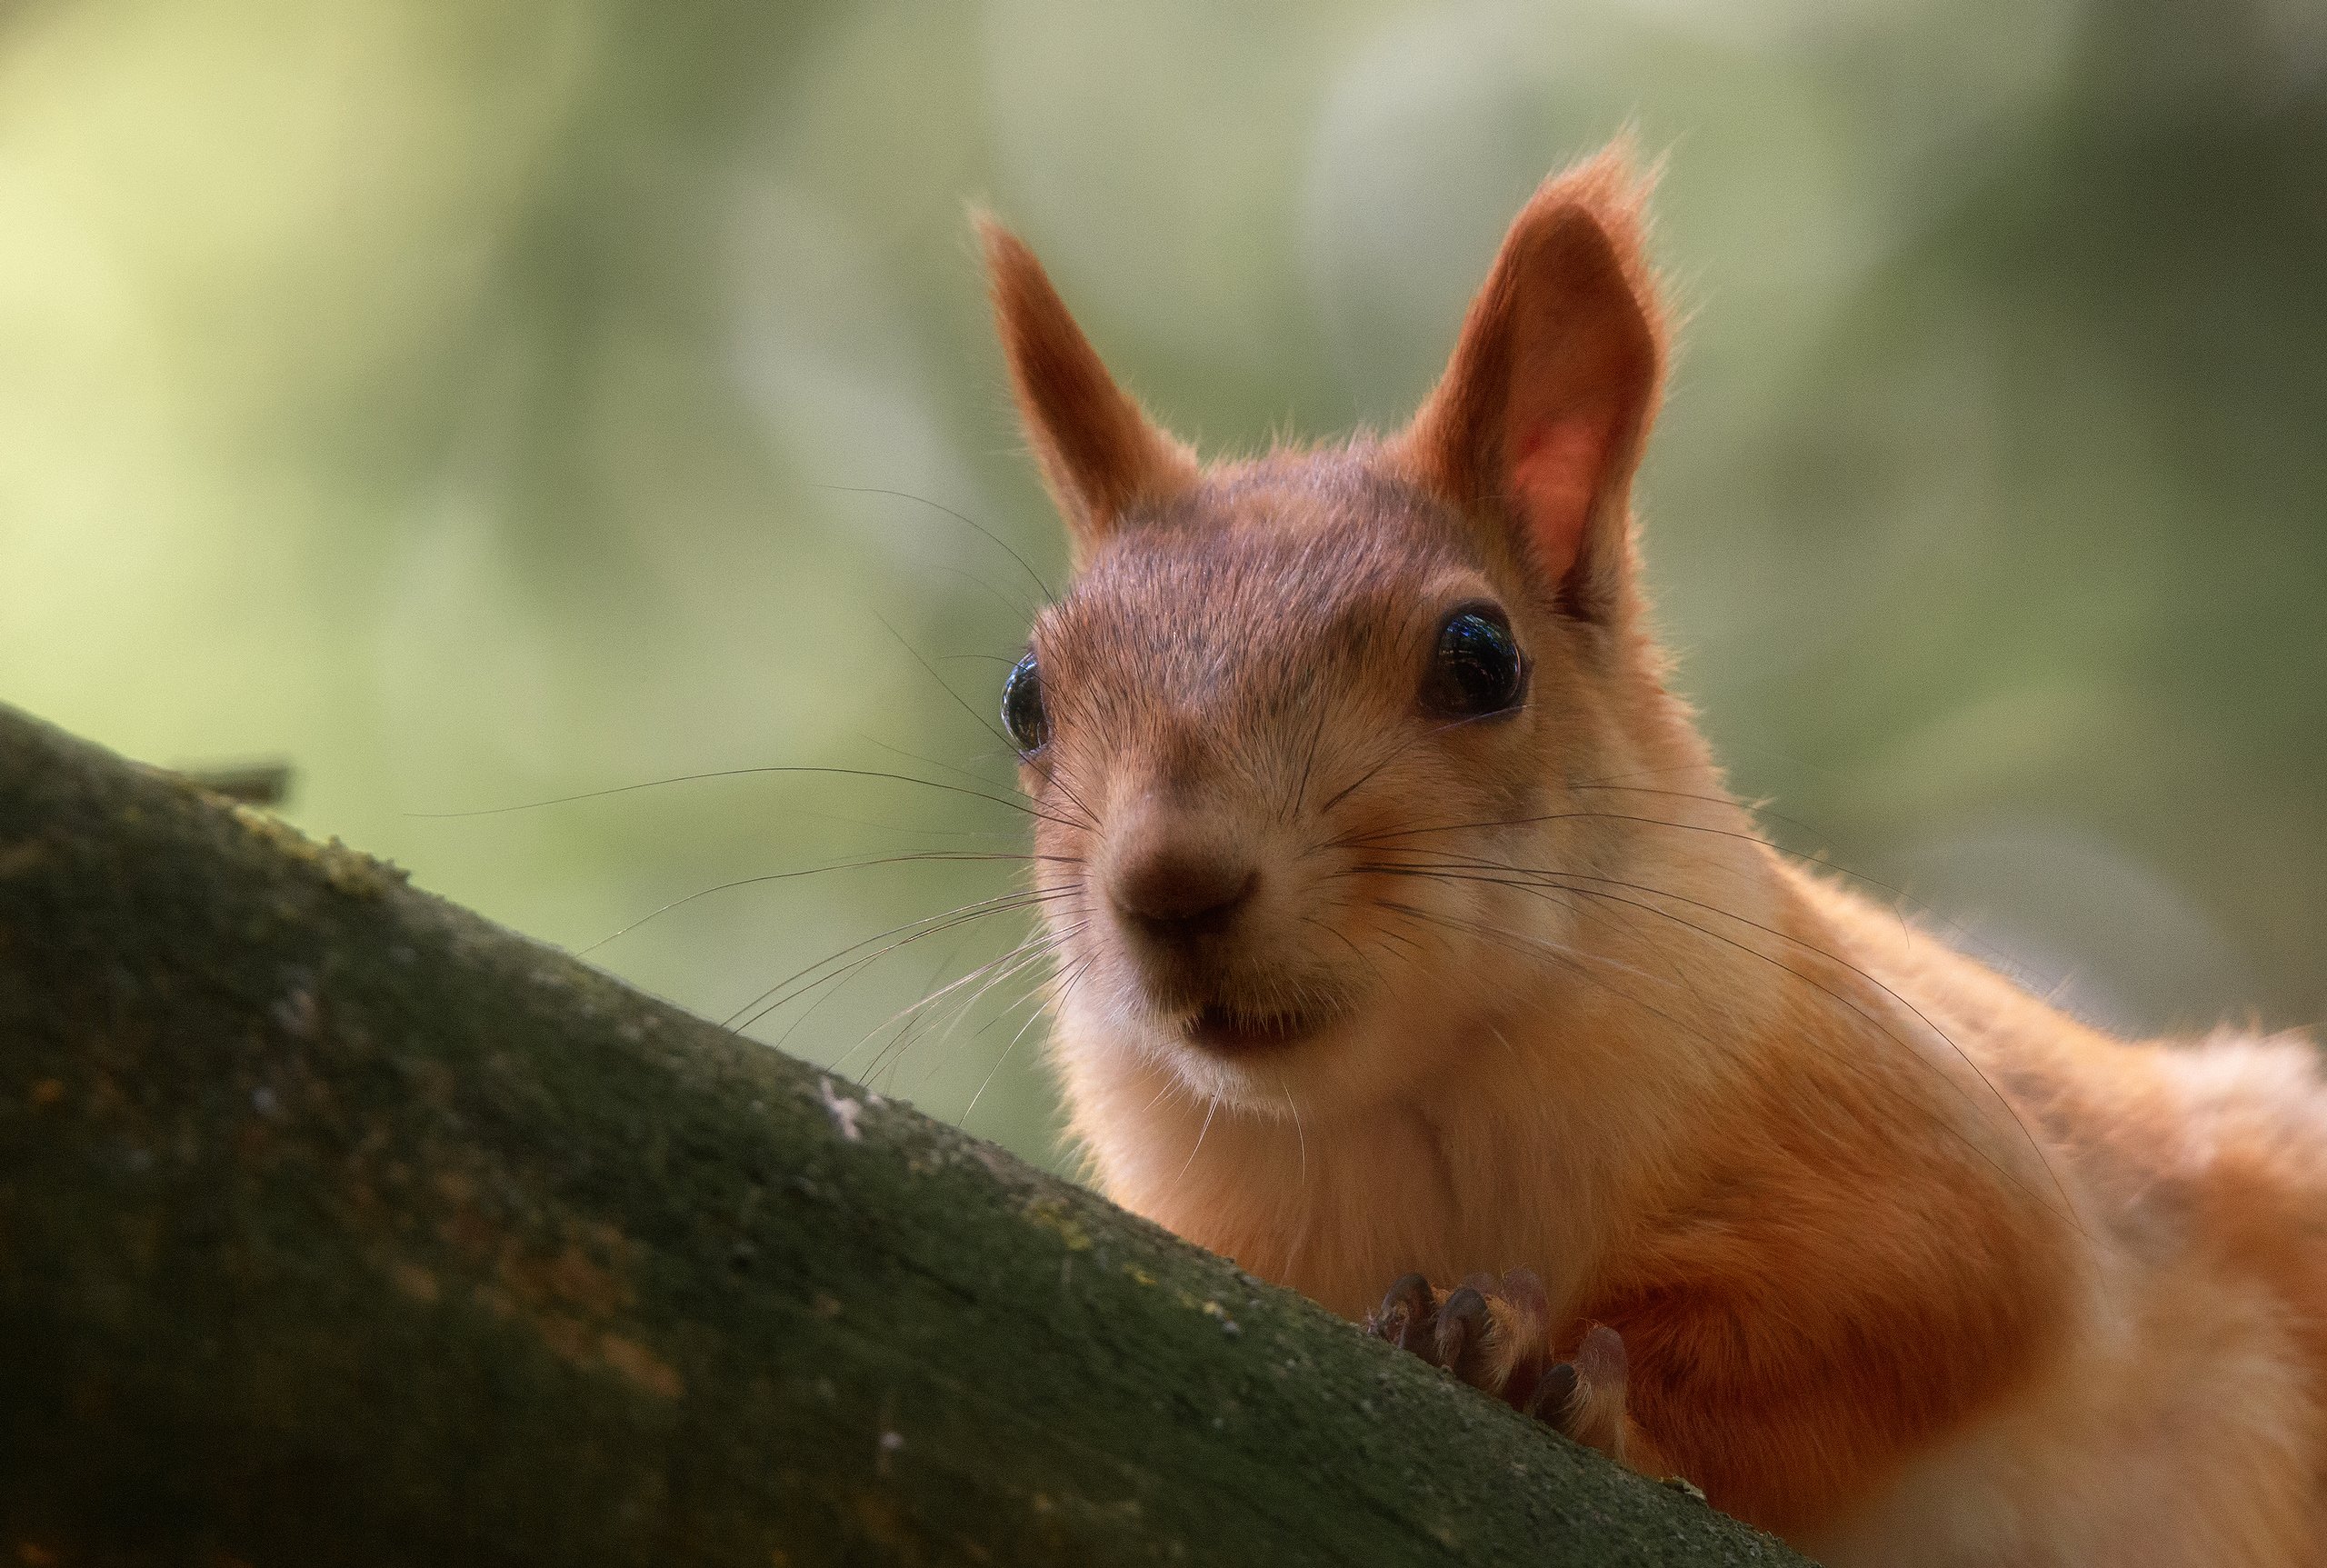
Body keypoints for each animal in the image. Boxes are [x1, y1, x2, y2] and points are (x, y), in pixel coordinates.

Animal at [967, 144, 2327, 1553]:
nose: (1170, 882)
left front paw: (1543, 1366)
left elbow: (1904, 1310)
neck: (1405, 1105)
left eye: (1482, 657)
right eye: (1025, 698)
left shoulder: (1930, 1138)